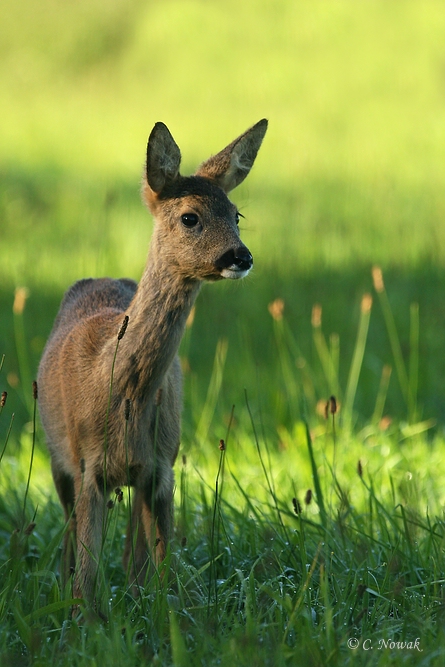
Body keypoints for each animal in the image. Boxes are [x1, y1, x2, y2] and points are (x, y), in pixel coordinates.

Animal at [37, 117, 268, 608]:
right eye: (190, 217)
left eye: (236, 215)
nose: (240, 256)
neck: (121, 391)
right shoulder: (86, 465)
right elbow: (87, 575)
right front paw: (84, 619)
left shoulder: (162, 466)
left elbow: (162, 566)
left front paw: (162, 612)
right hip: (55, 455)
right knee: (68, 537)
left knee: (132, 552)